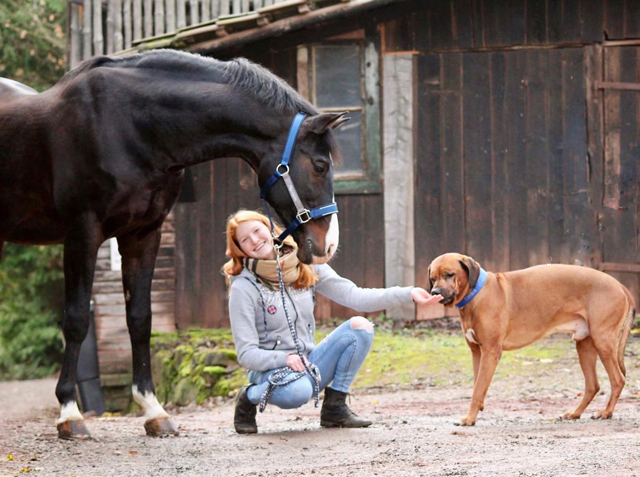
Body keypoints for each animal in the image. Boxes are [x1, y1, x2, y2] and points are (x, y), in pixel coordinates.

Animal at [1, 50, 344, 436]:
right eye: (319, 165)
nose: (329, 245)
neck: (128, 126)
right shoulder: (82, 233)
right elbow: (75, 320)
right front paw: (69, 414)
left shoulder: (144, 234)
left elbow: (140, 319)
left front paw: (154, 410)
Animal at [428, 253, 632, 424]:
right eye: (432, 278)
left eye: (449, 274)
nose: (434, 292)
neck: (476, 294)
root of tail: (621, 286)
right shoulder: (477, 352)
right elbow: (477, 385)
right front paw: (477, 410)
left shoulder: (490, 352)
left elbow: (478, 389)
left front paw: (470, 418)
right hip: (584, 345)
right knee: (593, 385)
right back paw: (575, 413)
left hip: (602, 341)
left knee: (618, 380)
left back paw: (606, 412)